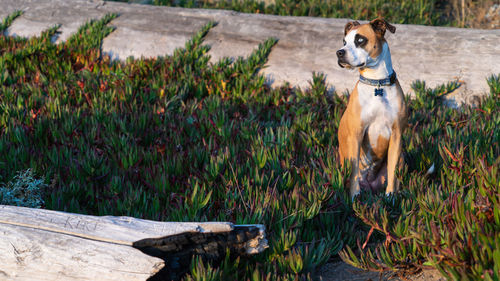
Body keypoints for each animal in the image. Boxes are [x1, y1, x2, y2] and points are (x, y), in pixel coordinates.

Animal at [336, 18, 406, 198]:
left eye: (360, 40)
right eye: (344, 42)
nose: (339, 52)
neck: (377, 84)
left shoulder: (396, 136)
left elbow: (392, 170)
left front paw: (390, 196)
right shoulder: (356, 135)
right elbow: (354, 171)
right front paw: (354, 196)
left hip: (402, 157)